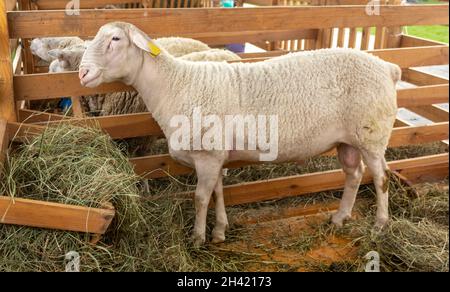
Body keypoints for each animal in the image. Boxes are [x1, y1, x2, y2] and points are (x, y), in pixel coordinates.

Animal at [80, 23, 398, 246]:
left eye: (115, 39)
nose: (82, 73)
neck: (176, 84)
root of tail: (387, 66)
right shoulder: (216, 155)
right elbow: (218, 192)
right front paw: (220, 231)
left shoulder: (207, 156)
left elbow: (200, 198)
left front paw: (197, 238)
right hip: (349, 140)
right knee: (354, 174)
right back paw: (340, 218)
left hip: (372, 135)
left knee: (381, 178)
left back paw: (380, 225)